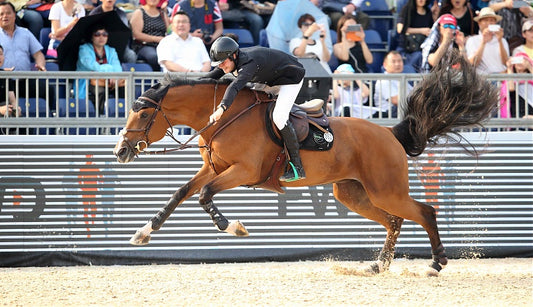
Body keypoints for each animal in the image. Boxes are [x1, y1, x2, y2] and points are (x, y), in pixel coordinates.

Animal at [114, 51, 496, 276]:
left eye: (144, 114)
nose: (120, 151)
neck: (224, 118)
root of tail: (389, 133)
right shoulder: (215, 168)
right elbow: (180, 193)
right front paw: (143, 232)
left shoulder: (242, 172)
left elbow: (205, 195)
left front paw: (233, 227)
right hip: (353, 193)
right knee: (395, 220)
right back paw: (380, 264)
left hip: (386, 190)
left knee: (423, 212)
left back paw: (436, 263)